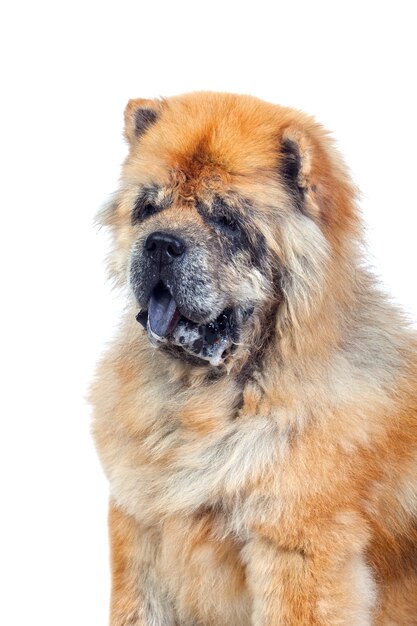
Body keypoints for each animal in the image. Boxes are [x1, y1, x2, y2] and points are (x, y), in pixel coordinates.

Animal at [90, 90, 416, 620]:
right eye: (147, 208)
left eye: (225, 219)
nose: (159, 243)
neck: (207, 400)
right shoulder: (139, 528)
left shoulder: (297, 548)